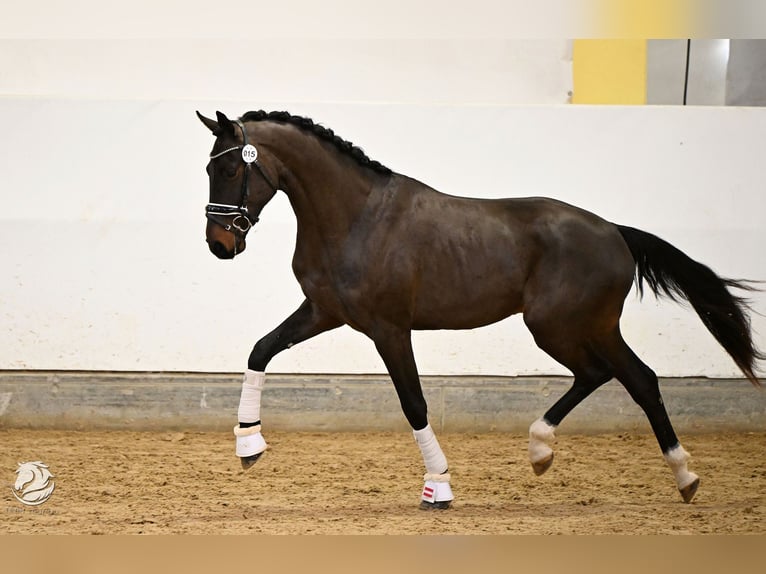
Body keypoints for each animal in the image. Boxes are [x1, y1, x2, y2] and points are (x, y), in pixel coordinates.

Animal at [198, 110, 760, 510]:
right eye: (209, 167)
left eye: (230, 167)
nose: (219, 245)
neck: (355, 217)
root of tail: (615, 232)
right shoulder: (323, 312)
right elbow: (260, 350)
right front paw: (249, 446)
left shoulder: (389, 329)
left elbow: (414, 404)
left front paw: (438, 487)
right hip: (576, 328)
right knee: (611, 375)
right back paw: (550, 452)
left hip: (563, 326)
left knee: (633, 378)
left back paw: (681, 474)